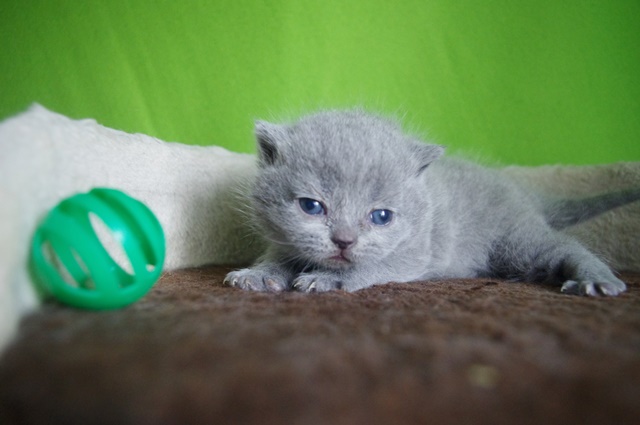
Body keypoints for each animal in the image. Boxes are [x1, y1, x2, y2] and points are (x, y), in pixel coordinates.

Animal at [225, 110, 640, 296]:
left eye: (381, 216)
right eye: (311, 207)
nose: (344, 241)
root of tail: (521, 191)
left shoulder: (417, 253)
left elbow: (371, 267)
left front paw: (327, 278)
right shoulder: (283, 239)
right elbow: (277, 257)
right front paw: (259, 273)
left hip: (515, 241)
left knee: (561, 246)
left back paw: (596, 278)